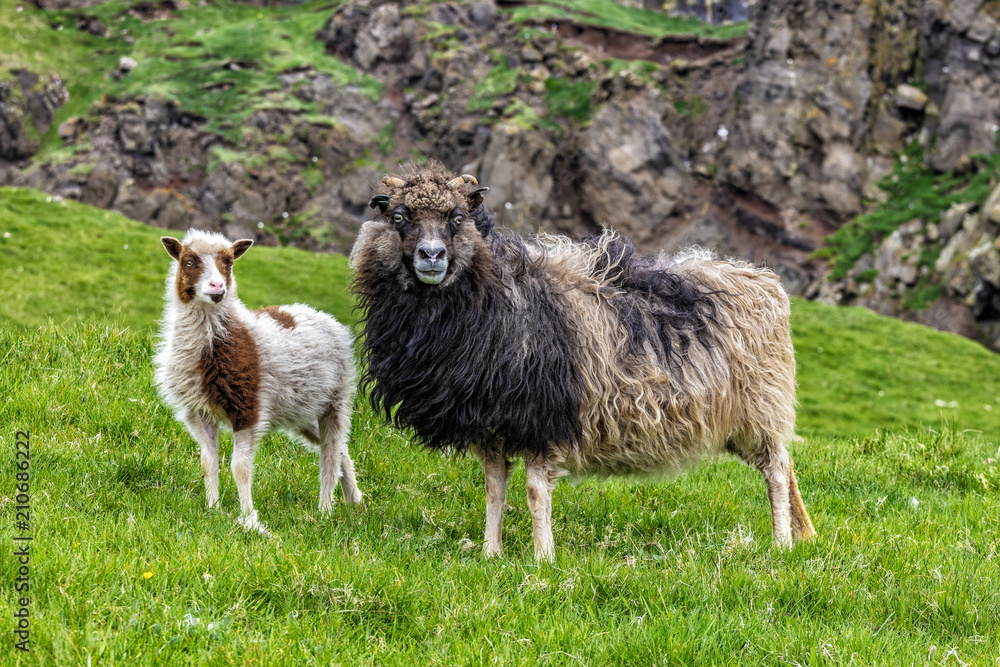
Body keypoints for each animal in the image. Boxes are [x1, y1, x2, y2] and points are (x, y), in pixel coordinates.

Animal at [154, 229, 362, 533]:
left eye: (228, 263)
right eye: (189, 262)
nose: (218, 287)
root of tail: (319, 314)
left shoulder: (247, 407)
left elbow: (239, 468)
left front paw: (250, 520)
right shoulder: (200, 411)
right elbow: (208, 463)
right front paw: (213, 509)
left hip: (337, 398)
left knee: (331, 452)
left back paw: (325, 510)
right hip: (301, 410)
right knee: (341, 448)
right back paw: (353, 498)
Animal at [350, 162, 815, 560]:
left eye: (457, 216)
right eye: (399, 217)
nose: (432, 255)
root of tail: (763, 279)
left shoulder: (542, 417)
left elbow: (535, 491)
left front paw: (542, 558)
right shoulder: (491, 423)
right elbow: (494, 490)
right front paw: (490, 553)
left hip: (759, 407)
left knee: (777, 471)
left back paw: (781, 544)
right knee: (784, 466)